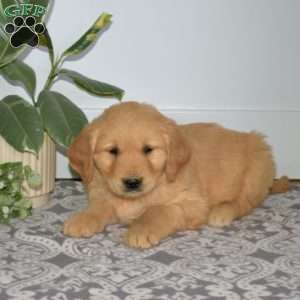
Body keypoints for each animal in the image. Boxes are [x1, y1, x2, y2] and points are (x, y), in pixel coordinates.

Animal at [63, 101, 282, 248]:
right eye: (112, 151)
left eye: (148, 150)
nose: (132, 182)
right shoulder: (101, 193)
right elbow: (99, 207)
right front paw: (83, 218)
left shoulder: (192, 204)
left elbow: (158, 210)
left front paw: (142, 228)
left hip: (257, 166)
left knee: (246, 202)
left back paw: (222, 211)